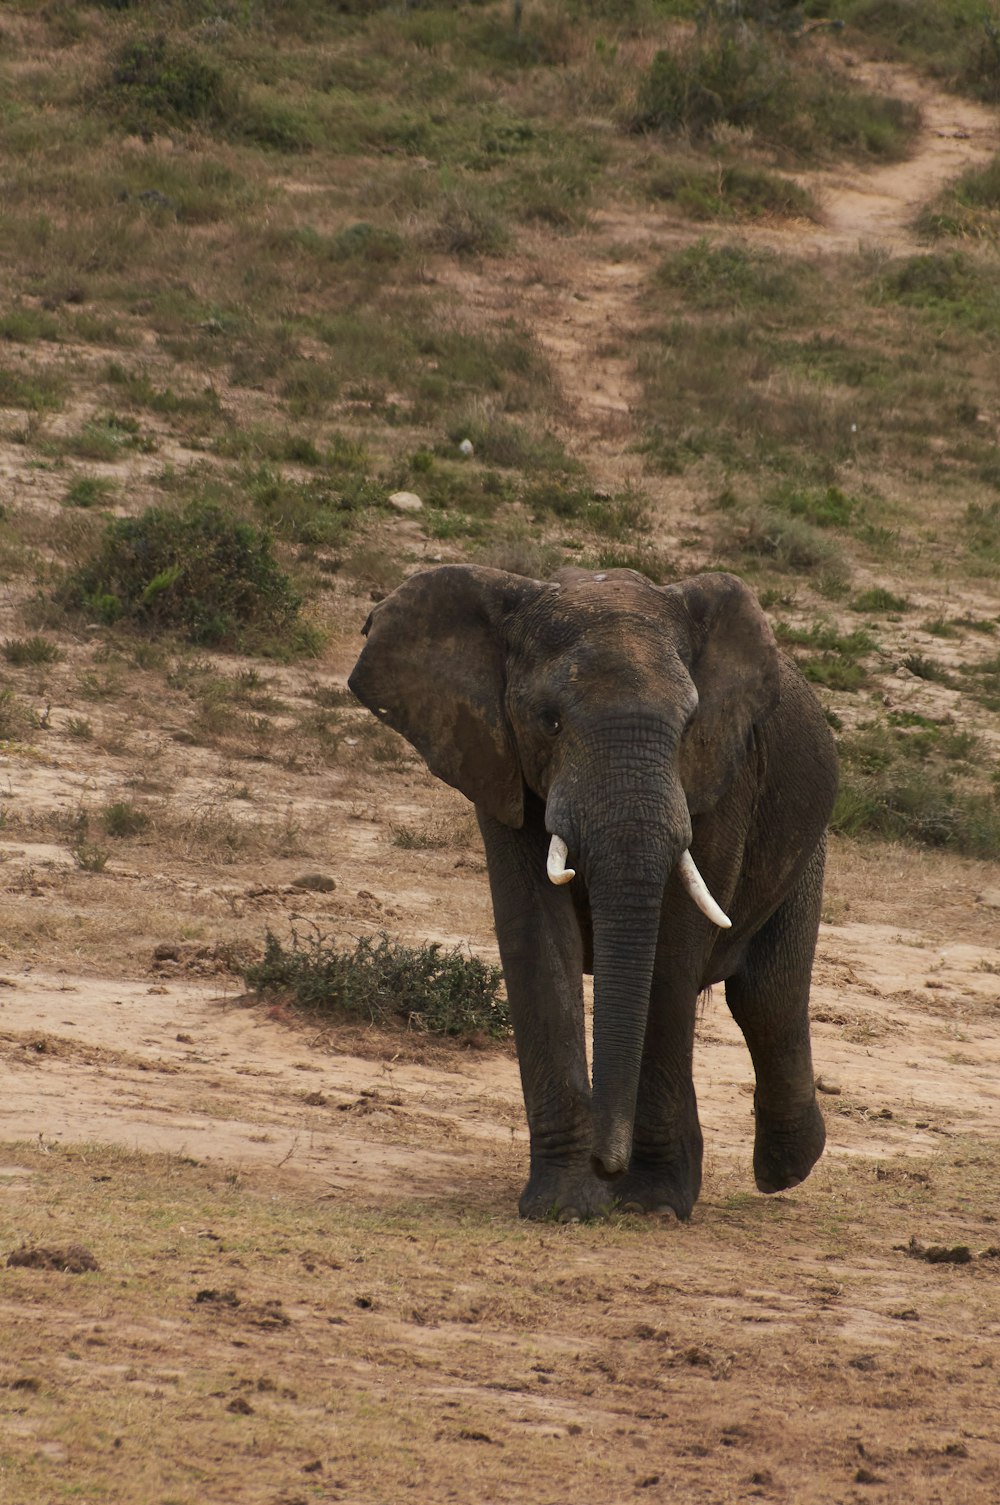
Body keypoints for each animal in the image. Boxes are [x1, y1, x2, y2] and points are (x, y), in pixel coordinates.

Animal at [349, 565, 837, 1222]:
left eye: (689, 725)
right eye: (549, 720)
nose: (611, 1163)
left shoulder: (724, 774)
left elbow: (671, 950)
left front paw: (649, 1205)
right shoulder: (500, 764)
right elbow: (536, 935)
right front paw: (564, 1206)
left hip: (810, 841)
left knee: (767, 997)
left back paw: (785, 1170)